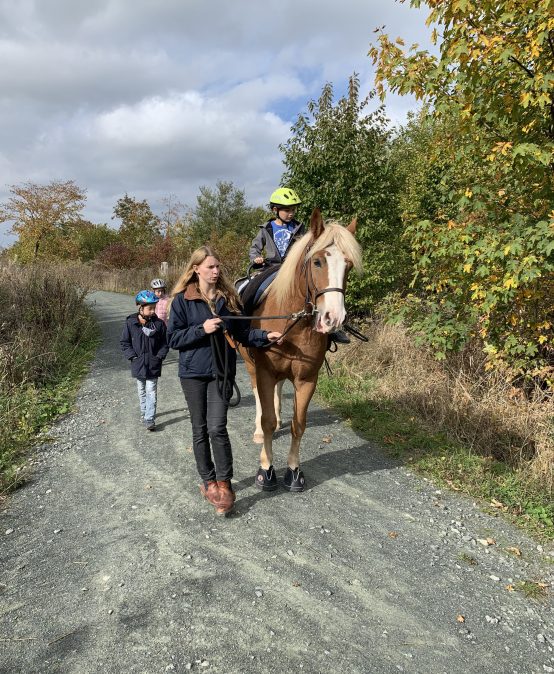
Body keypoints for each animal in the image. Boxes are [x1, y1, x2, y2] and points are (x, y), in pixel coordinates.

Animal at [238, 207, 362, 490]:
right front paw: (266, 469)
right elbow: (267, 420)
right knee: (259, 398)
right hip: (250, 366)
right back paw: (259, 432)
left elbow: (299, 424)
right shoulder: (264, 372)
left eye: (348, 265)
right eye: (317, 262)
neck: (293, 320)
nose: (333, 317)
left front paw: (293, 471)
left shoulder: (306, 379)